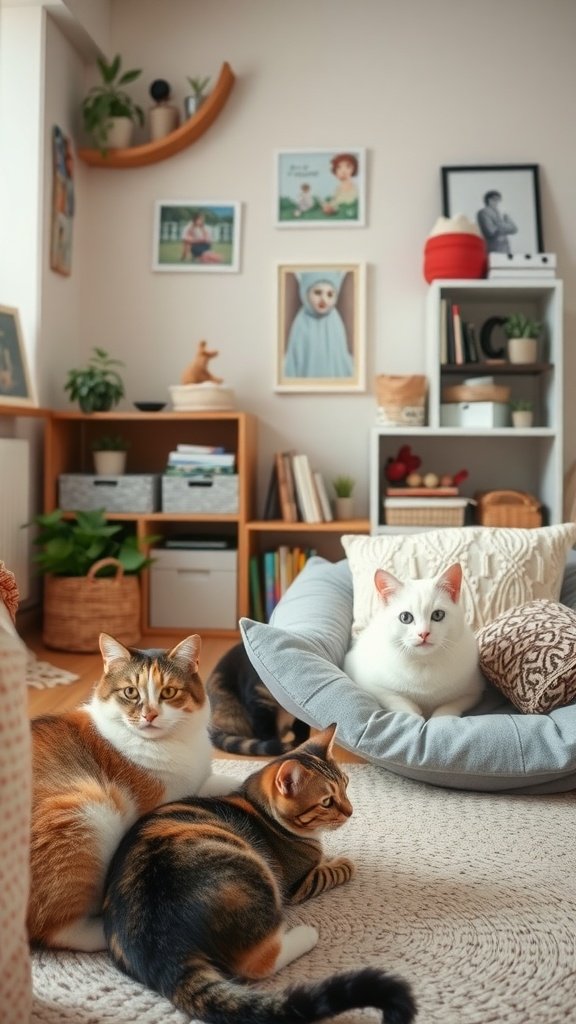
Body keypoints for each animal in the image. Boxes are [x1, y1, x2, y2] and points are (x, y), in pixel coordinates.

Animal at [27, 630, 235, 950]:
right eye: (130, 692)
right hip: (87, 812)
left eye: (168, 692)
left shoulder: (198, 781)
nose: (149, 715)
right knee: (55, 930)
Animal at [103, 720, 414, 1024]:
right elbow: (328, 871)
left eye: (347, 785)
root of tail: (162, 953)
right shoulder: (299, 883)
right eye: (327, 801)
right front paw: (341, 862)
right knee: (261, 963)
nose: (350, 811)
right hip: (254, 874)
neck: (259, 806)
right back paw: (305, 935)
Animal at [342, 561, 481, 720]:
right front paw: (416, 715)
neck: (424, 664)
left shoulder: (473, 691)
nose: (424, 633)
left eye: (438, 615)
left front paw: (438, 718)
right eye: (405, 617)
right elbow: (399, 701)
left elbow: (449, 707)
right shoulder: (370, 685)